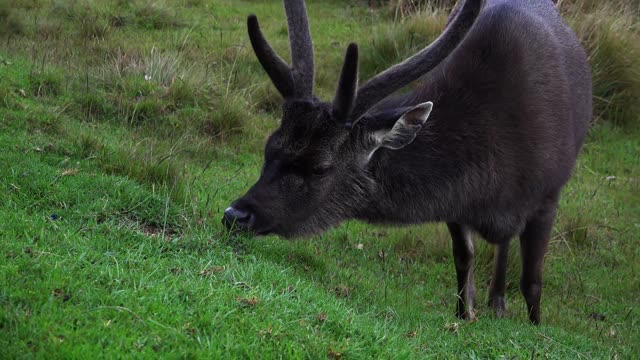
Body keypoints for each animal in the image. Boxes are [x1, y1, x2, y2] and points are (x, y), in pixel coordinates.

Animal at [221, 0, 592, 324]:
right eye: (270, 146)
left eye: (321, 167)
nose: (235, 214)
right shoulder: (456, 204)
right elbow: (464, 256)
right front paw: (464, 313)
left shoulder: (549, 195)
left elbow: (532, 282)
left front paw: (535, 326)